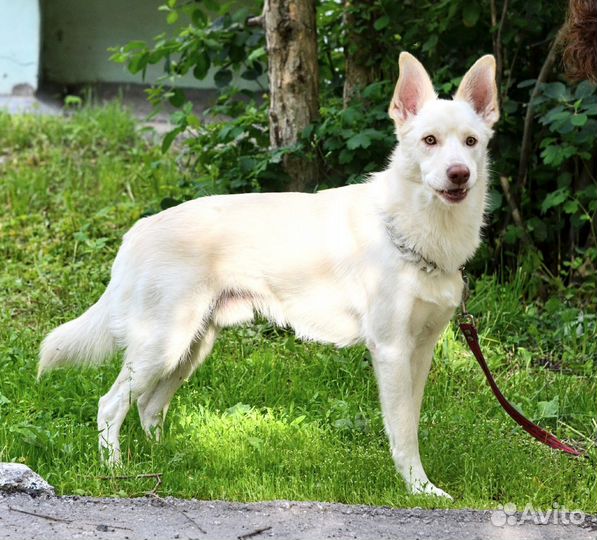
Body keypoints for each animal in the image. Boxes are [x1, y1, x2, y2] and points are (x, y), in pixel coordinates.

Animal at [39, 53, 498, 498]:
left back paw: (168, 462)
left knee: (149, 408)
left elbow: (411, 424)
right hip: (162, 345)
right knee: (111, 404)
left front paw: (417, 483)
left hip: (191, 348)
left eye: (471, 142)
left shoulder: (420, 351)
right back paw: (116, 472)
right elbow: (403, 433)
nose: (459, 173)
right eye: (429, 141)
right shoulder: (391, 351)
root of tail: (139, 230)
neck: (411, 231)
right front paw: (419, 489)